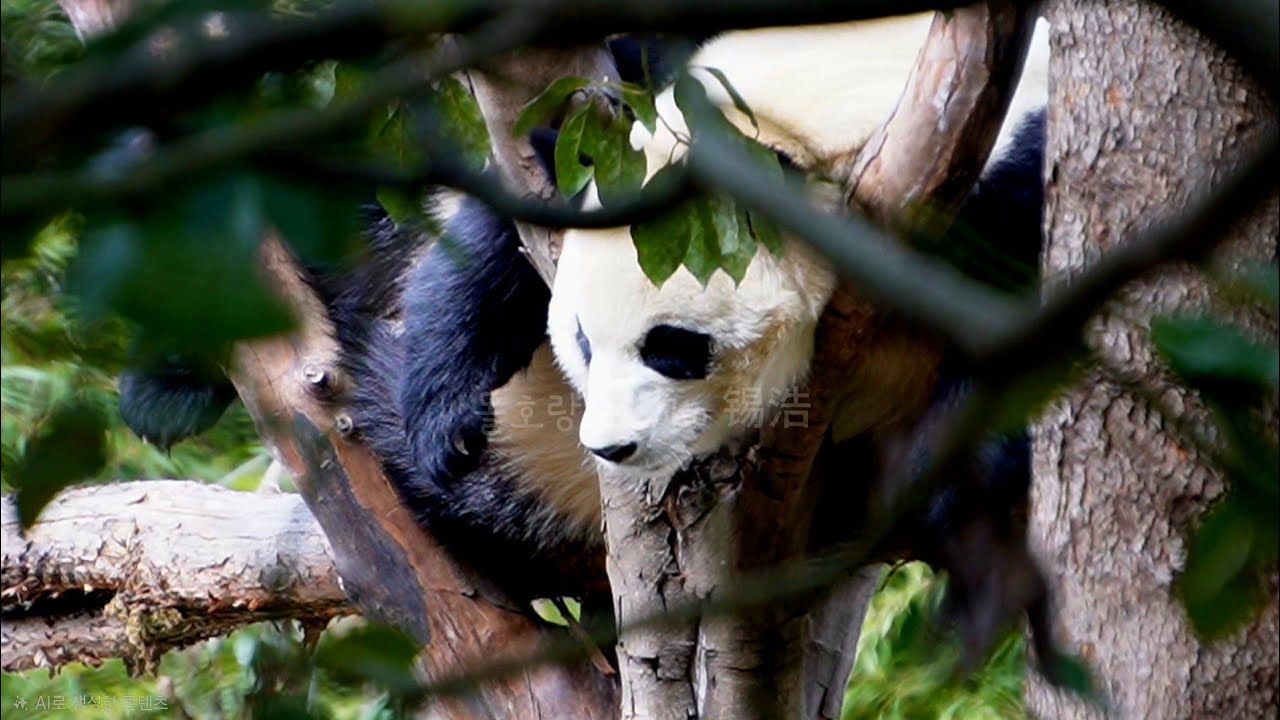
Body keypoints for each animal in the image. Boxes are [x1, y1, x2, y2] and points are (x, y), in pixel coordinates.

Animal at [120, 14, 1049, 616]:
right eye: (578, 340)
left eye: (674, 349)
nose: (610, 447)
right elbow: (499, 234)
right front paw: (442, 416)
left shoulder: (1006, 195)